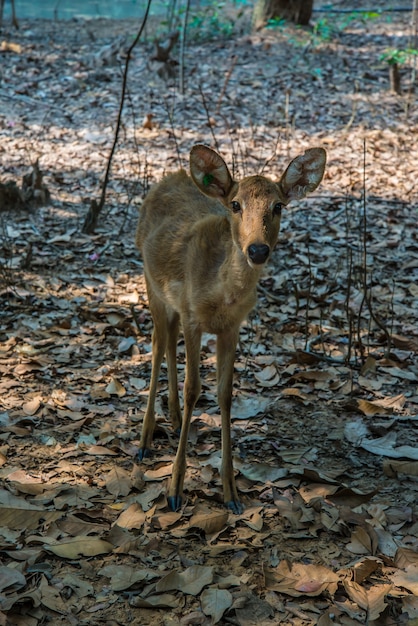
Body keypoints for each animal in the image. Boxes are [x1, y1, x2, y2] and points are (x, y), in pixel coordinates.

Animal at [137, 145, 326, 512]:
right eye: (236, 205)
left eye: (278, 206)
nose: (257, 249)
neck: (219, 295)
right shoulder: (193, 317)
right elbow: (194, 389)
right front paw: (175, 489)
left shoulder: (232, 327)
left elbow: (225, 394)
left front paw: (231, 493)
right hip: (151, 282)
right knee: (156, 343)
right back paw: (144, 441)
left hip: (171, 302)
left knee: (167, 341)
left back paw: (175, 420)